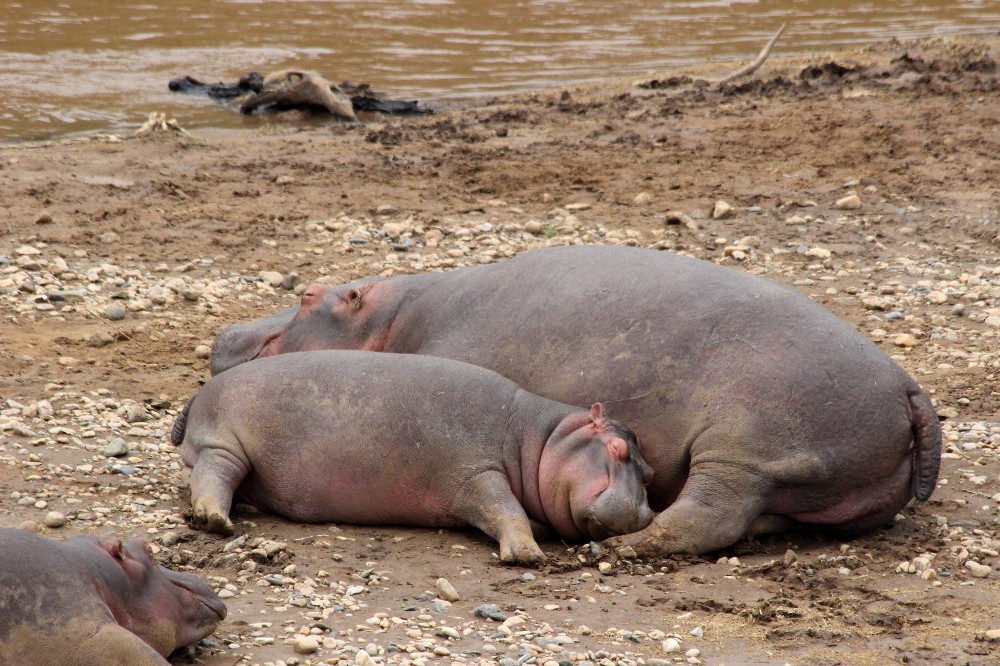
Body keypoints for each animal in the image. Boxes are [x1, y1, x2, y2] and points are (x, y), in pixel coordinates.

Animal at [172, 348, 656, 560]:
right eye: (616, 448)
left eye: (649, 471)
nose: (643, 514)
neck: (541, 439)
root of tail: (199, 392)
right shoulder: (474, 476)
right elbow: (505, 509)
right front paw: (527, 554)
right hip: (227, 443)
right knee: (213, 475)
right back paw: (215, 521)